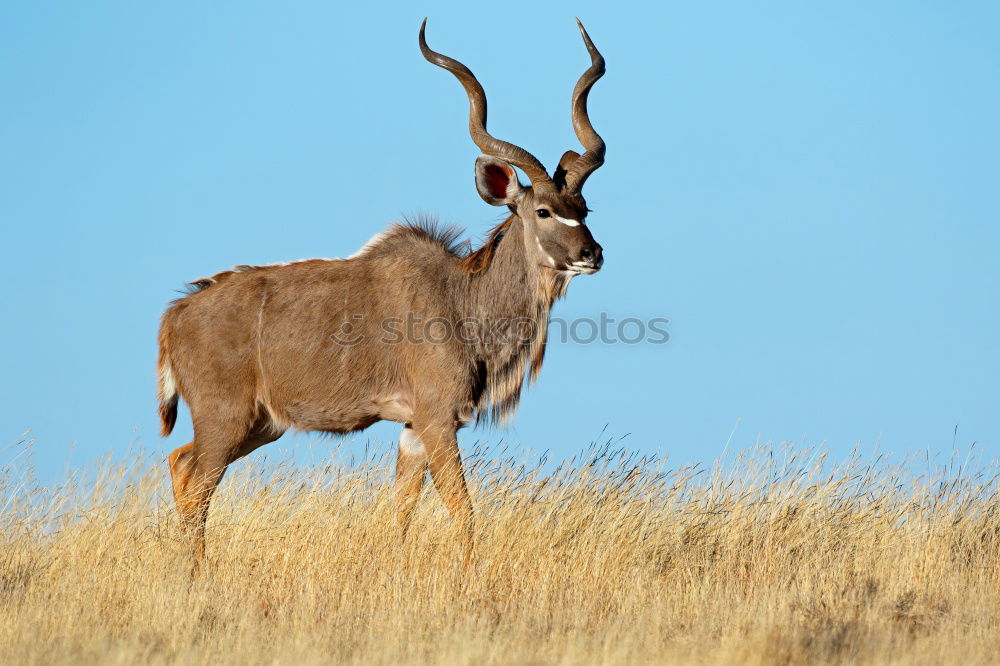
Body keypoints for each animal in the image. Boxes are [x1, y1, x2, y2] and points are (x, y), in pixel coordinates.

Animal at [160, 18, 604, 568]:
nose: (592, 253)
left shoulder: (412, 429)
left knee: (179, 463)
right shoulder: (436, 420)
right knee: (196, 483)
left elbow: (402, 513)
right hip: (225, 419)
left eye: (584, 208)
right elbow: (463, 510)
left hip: (261, 424)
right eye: (542, 211)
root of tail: (176, 313)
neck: (462, 301)